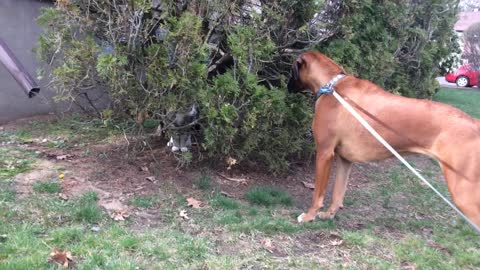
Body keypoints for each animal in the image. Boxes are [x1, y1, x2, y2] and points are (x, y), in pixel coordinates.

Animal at [288, 50, 480, 226]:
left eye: (292, 70)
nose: (287, 86)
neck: (332, 85)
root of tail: (474, 123)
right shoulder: (344, 160)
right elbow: (337, 193)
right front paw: (329, 214)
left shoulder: (324, 153)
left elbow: (318, 193)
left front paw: (309, 215)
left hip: (464, 193)